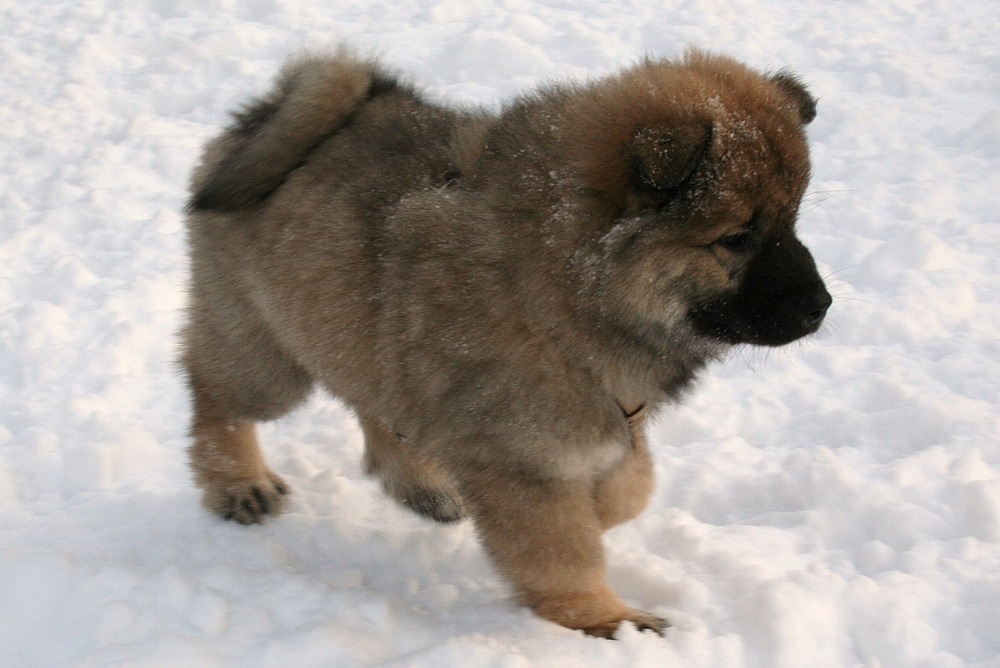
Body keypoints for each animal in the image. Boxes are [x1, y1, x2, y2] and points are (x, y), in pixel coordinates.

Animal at [180, 48, 828, 636]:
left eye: (793, 220)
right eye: (737, 238)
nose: (821, 306)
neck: (563, 283)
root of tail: (268, 113)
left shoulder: (612, 411)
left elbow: (632, 486)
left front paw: (604, 512)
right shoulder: (523, 454)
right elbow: (563, 550)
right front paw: (606, 620)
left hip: (357, 335)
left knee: (378, 401)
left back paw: (422, 486)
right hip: (267, 353)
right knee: (214, 392)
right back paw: (239, 483)